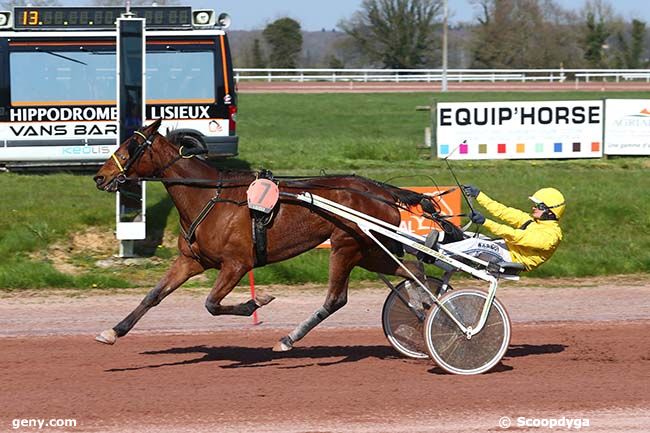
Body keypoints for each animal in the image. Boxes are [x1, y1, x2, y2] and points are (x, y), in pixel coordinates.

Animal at [92, 118, 456, 352]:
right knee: (410, 270)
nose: (99, 176)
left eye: (131, 146)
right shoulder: (191, 260)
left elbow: (212, 304)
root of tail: (381, 190)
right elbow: (154, 295)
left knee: (337, 299)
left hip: (346, 246)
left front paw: (257, 301)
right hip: (369, 251)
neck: (208, 196)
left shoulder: (236, 264)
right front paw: (113, 331)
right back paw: (424, 306)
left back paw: (289, 338)